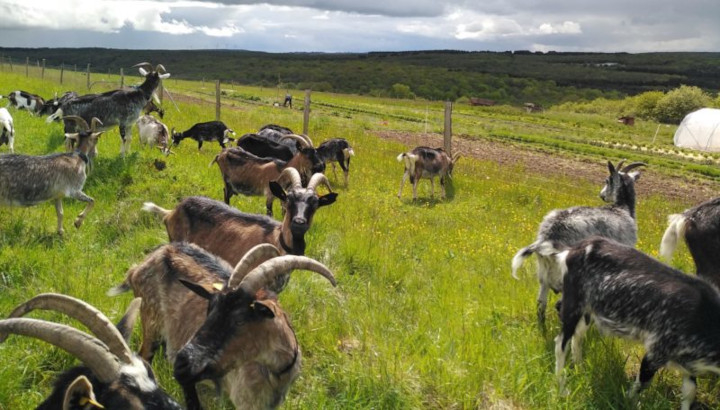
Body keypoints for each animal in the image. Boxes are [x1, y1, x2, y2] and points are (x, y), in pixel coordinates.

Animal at [109, 242, 338, 408]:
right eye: (210, 309)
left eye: (239, 319)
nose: (182, 362)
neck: (276, 372)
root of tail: (137, 268)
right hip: (151, 323)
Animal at [512, 160, 648, 324]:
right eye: (607, 180)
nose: (601, 195)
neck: (622, 209)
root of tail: (548, 236)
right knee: (560, 306)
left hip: (544, 274)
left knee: (541, 306)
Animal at [556, 235, 720, 410]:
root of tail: (576, 248)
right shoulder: (657, 351)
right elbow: (641, 384)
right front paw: (629, 403)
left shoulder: (689, 362)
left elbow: (690, 392)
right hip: (573, 303)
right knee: (561, 343)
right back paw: (562, 388)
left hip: (588, 310)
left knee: (577, 337)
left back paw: (580, 369)